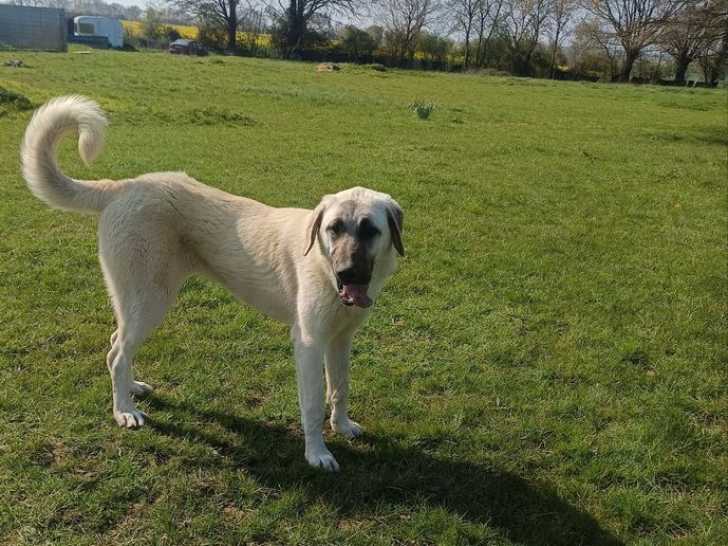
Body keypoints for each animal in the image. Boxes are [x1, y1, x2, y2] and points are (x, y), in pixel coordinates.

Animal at [21, 96, 404, 471]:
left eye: (370, 230)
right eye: (334, 228)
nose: (347, 273)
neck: (324, 264)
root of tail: (126, 185)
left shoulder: (340, 340)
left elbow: (339, 387)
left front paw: (341, 426)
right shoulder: (309, 343)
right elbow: (311, 405)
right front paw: (317, 454)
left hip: (137, 303)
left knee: (118, 344)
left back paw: (131, 388)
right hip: (150, 302)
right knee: (116, 354)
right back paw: (124, 411)